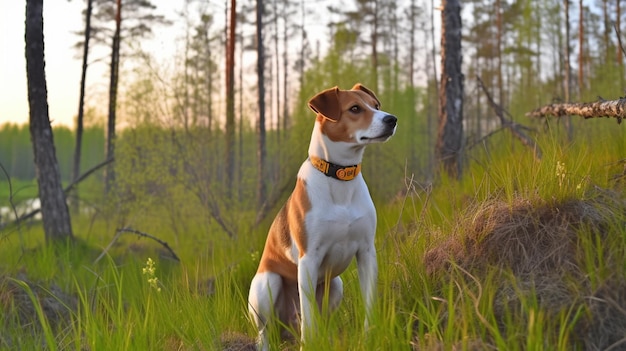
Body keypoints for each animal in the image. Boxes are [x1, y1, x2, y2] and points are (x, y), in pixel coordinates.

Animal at [247, 84, 394, 350]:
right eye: (354, 109)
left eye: (376, 106)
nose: (392, 119)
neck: (339, 177)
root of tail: (286, 329)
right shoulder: (309, 258)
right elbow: (309, 319)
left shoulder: (367, 252)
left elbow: (369, 303)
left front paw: (371, 336)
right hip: (267, 284)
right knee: (264, 331)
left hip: (335, 285)